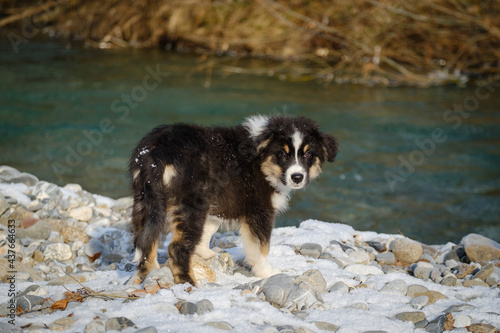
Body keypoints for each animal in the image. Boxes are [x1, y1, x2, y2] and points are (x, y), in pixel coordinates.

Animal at [131, 115, 338, 284]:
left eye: (308, 154)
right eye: (282, 154)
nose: (297, 177)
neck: (260, 160)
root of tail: (157, 152)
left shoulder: (217, 204)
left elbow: (209, 229)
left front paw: (205, 253)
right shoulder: (259, 210)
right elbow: (260, 248)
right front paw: (267, 273)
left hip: (145, 200)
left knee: (145, 241)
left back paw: (150, 274)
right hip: (191, 206)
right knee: (177, 248)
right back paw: (188, 283)